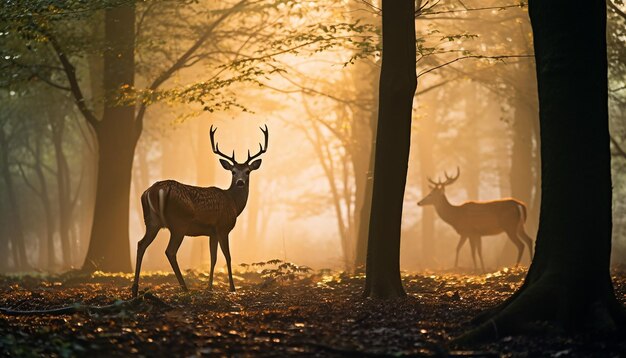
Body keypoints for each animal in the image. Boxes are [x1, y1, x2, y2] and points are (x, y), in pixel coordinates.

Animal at [130, 124, 266, 298]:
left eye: (248, 171)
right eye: (233, 171)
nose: (240, 182)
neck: (234, 204)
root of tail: (155, 190)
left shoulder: (212, 232)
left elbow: (213, 258)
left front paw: (209, 287)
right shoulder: (223, 227)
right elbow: (228, 257)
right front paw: (232, 288)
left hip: (152, 221)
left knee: (141, 244)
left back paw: (135, 289)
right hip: (179, 223)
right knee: (170, 251)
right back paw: (184, 288)